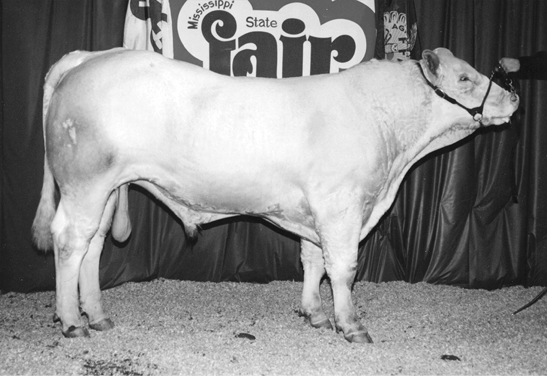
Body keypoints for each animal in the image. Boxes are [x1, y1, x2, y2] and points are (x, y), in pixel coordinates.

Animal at [32, 45, 520, 342]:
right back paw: (72, 322)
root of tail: (88, 56)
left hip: (107, 187)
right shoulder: (341, 205)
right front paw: (350, 324)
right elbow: (343, 267)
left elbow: (313, 261)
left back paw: (97, 315)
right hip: (85, 182)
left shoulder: (314, 210)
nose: (513, 99)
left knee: (92, 246)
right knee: (69, 241)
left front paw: (314, 313)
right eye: (465, 78)